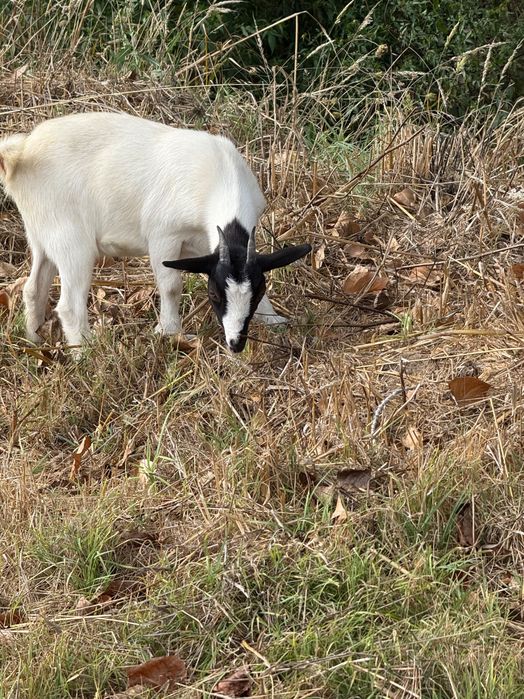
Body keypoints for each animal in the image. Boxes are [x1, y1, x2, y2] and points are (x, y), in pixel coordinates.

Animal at [0, 112, 311, 353]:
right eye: (213, 295)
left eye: (256, 293)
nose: (236, 344)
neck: (220, 176)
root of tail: (22, 154)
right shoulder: (164, 235)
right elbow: (171, 286)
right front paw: (171, 332)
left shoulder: (204, 245)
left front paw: (273, 319)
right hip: (71, 241)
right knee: (68, 305)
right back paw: (86, 352)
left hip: (42, 234)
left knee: (33, 287)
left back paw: (34, 339)